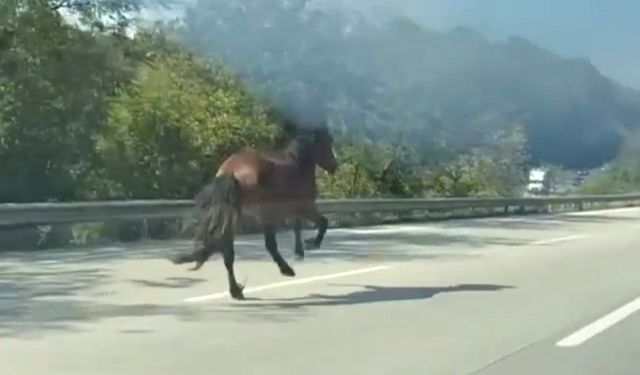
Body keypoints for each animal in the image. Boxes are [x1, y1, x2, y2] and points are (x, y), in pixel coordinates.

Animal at [170, 119, 340, 302]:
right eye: (328, 141)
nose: (334, 166)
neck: (297, 165)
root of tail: (231, 171)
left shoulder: (292, 210)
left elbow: (297, 227)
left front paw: (300, 251)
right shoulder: (305, 207)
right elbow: (322, 222)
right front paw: (311, 244)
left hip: (235, 216)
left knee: (228, 253)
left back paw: (236, 290)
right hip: (261, 215)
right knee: (268, 245)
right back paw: (285, 270)